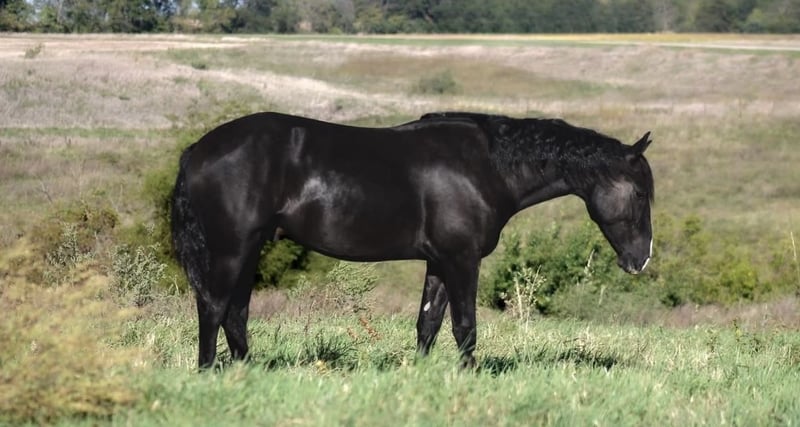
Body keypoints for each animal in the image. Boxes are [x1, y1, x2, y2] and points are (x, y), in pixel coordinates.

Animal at [171, 111, 654, 369]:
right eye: (640, 193)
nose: (641, 260)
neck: (485, 166)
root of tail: (197, 150)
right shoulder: (462, 260)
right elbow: (464, 326)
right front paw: (469, 375)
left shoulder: (440, 261)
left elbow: (429, 324)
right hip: (232, 250)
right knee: (213, 308)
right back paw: (208, 371)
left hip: (250, 249)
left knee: (235, 313)